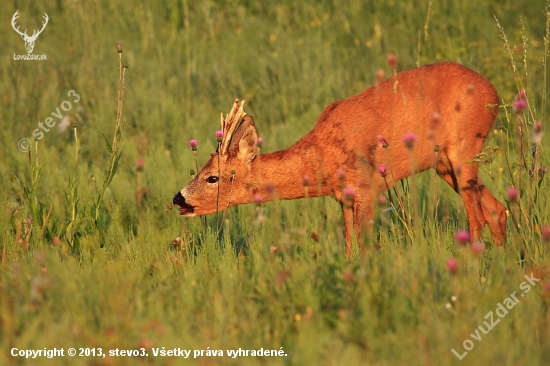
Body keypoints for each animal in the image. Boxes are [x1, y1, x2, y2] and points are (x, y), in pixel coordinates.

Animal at [176, 62, 508, 254]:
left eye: (212, 176)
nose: (177, 198)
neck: (320, 158)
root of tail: (494, 92)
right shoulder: (344, 197)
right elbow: (349, 248)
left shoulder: (367, 185)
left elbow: (364, 247)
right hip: (445, 165)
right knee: (497, 210)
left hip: (464, 147)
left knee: (476, 218)